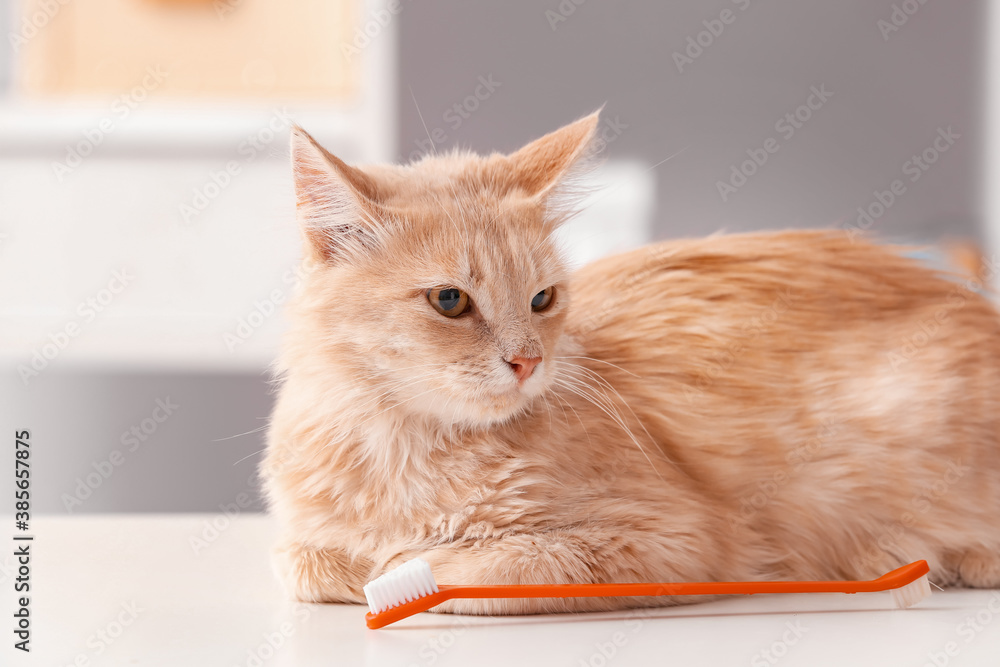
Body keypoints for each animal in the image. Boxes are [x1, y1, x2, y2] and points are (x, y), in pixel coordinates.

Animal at [264, 111, 1000, 616]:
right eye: (450, 301)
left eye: (542, 299)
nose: (528, 360)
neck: (406, 452)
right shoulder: (303, 543)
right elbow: (314, 566)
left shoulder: (677, 537)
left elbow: (463, 569)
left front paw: (414, 561)